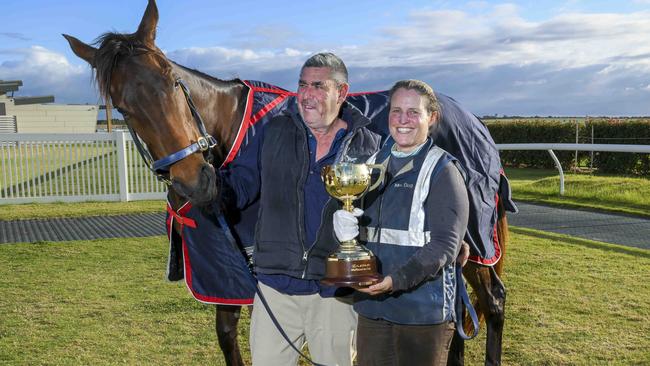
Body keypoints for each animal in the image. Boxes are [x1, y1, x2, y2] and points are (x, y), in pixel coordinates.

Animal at [66, 1, 512, 364]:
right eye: (122, 106)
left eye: (172, 81)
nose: (195, 180)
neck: (233, 131)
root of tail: (473, 121)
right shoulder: (223, 271)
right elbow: (228, 335)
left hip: (475, 242)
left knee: (491, 302)